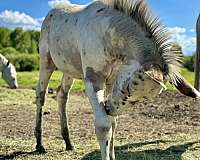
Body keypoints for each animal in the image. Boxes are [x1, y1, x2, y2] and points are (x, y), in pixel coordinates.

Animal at [35, 0, 200, 159]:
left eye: (142, 99)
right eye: (128, 87)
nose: (109, 109)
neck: (106, 33)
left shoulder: (111, 82)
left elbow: (113, 123)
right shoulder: (94, 80)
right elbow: (104, 126)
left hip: (69, 70)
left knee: (62, 95)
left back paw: (68, 142)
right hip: (46, 62)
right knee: (41, 95)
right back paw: (39, 145)